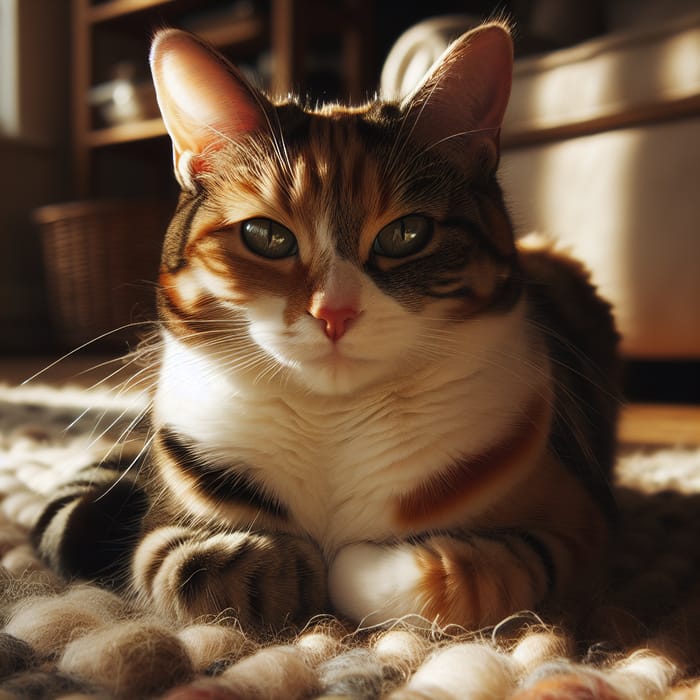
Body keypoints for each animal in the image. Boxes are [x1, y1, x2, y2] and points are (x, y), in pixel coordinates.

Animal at [35, 24, 620, 632]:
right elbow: (182, 568)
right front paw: (290, 567)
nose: (333, 313)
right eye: (267, 236)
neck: (332, 424)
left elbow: (458, 577)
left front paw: (347, 563)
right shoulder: (166, 516)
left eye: (406, 234)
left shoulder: (579, 527)